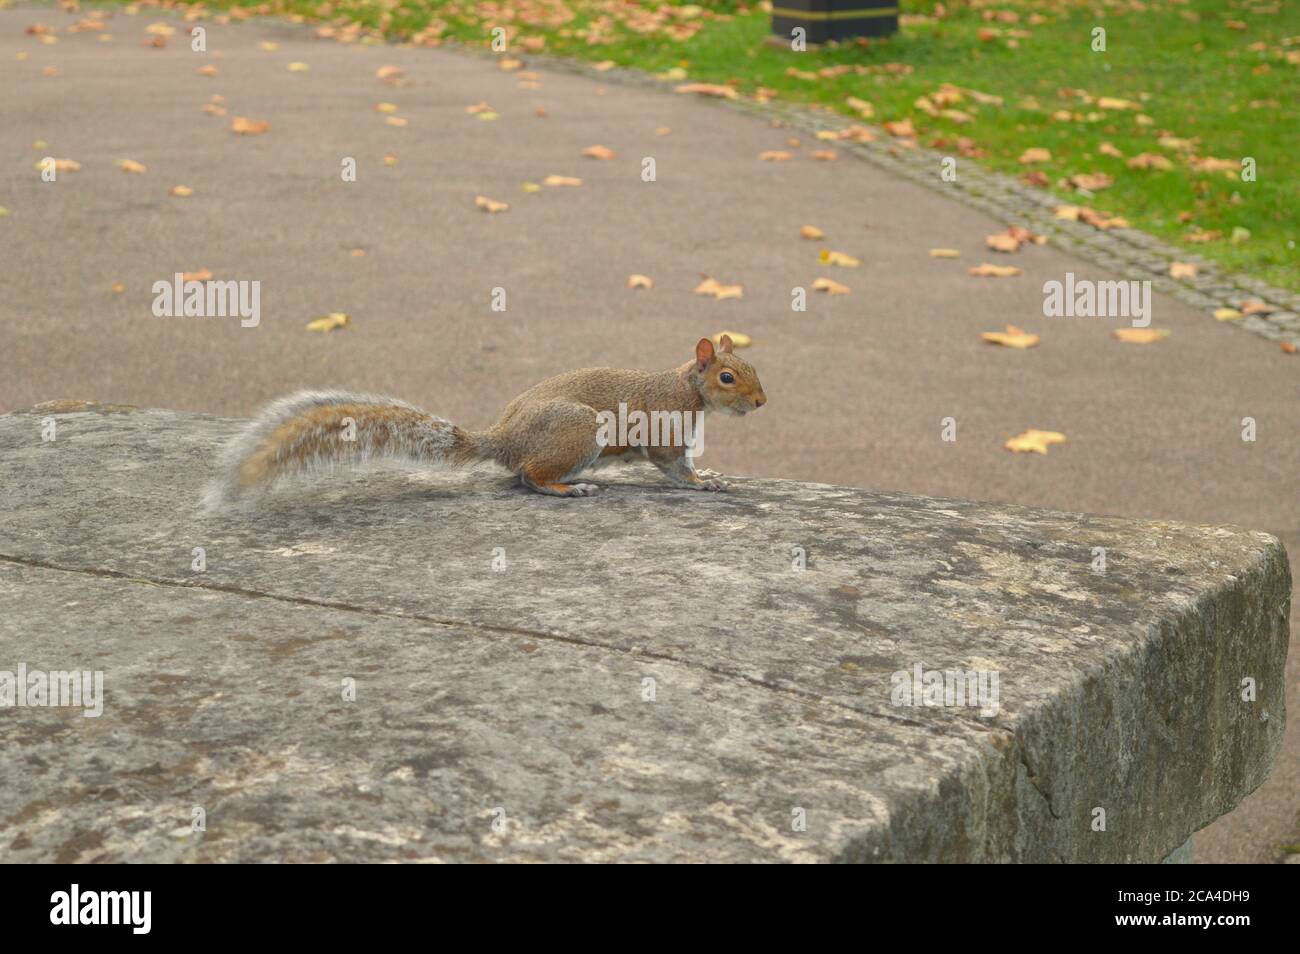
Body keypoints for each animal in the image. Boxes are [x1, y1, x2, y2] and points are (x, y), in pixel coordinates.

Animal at [206, 335, 764, 504]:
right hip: (581, 430)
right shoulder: (665, 430)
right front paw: (703, 483)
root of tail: (505, 439)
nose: (761, 402)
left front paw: (710, 474)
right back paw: (569, 487)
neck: (685, 385)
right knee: (530, 477)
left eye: (753, 368)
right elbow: (674, 466)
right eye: (728, 377)